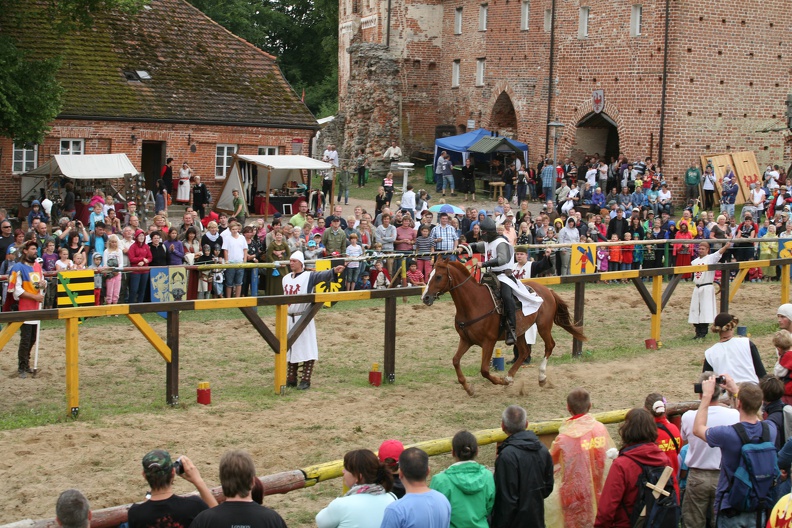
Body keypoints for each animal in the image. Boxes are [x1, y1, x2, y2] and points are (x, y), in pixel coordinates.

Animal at [424, 256, 584, 396]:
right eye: (429, 275)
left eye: (438, 276)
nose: (425, 298)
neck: (474, 303)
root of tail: (547, 291)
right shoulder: (466, 340)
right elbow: (456, 360)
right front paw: (469, 388)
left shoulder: (489, 342)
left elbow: (484, 370)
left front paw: (499, 381)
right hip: (519, 332)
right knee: (524, 352)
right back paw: (509, 377)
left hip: (543, 326)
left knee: (549, 345)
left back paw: (541, 378)